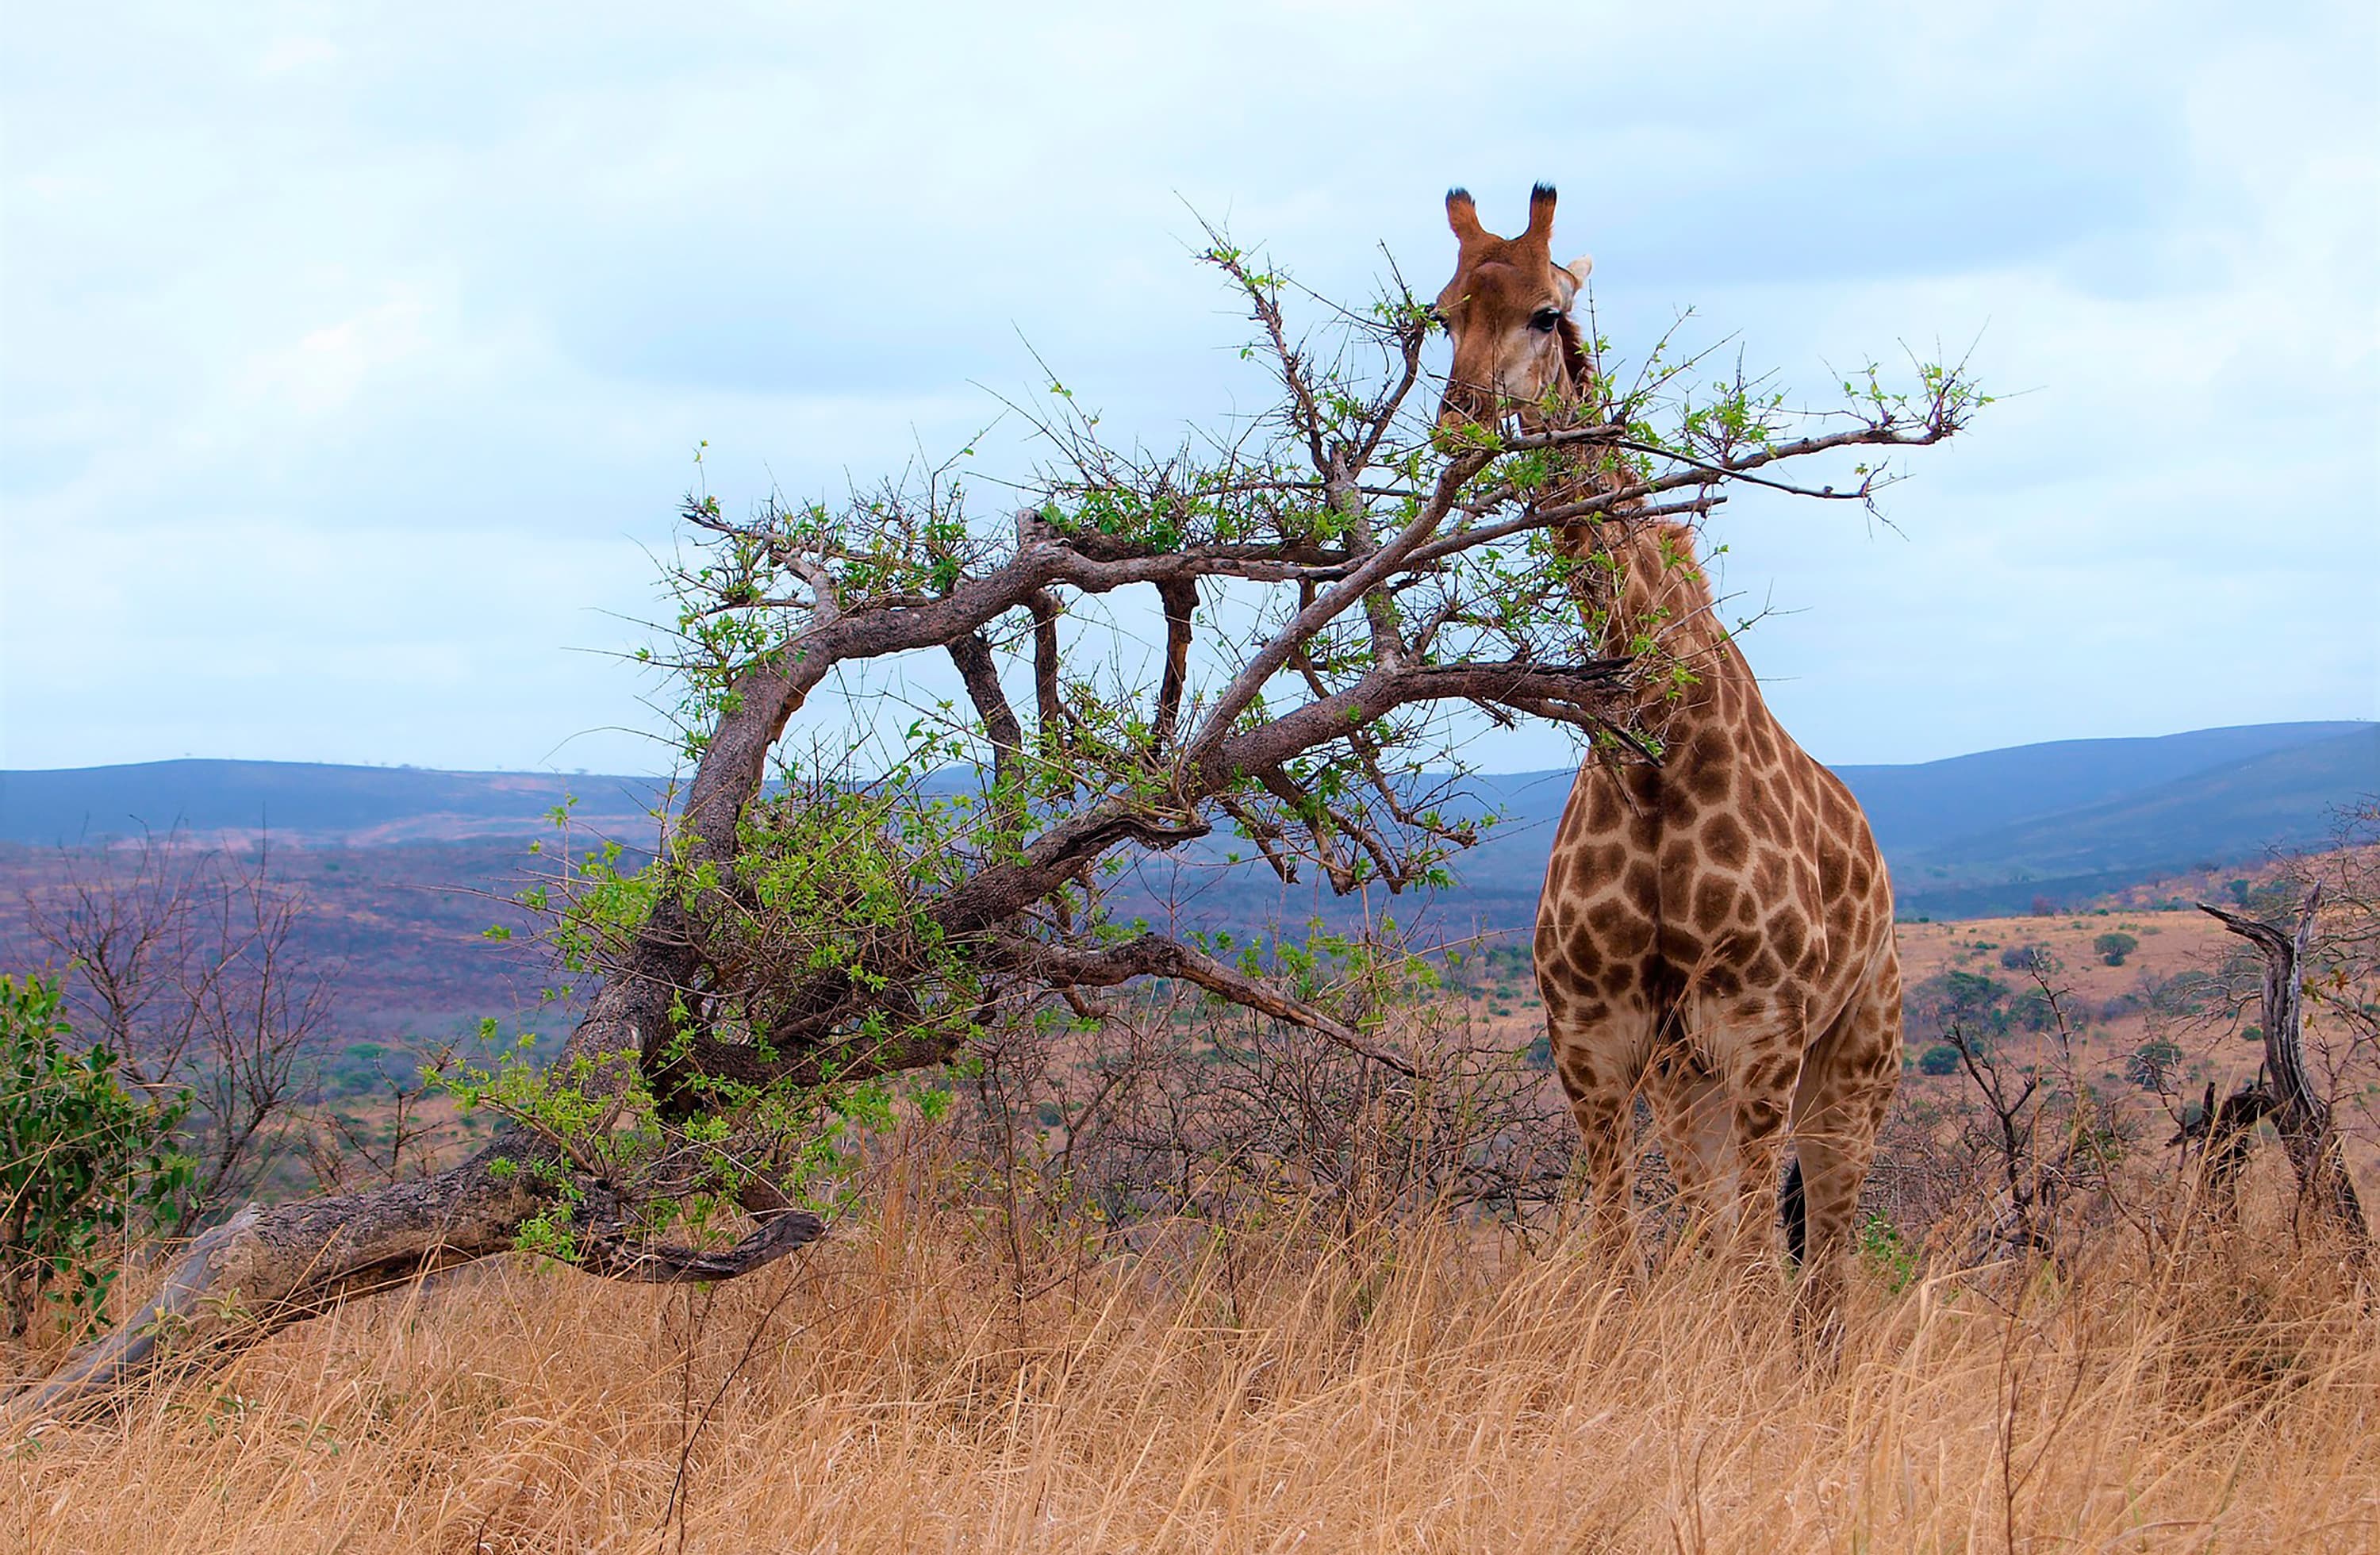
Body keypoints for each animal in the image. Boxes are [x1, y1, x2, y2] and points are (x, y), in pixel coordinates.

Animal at [1428, 184, 1894, 1323]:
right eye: (1442, 313)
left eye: (1547, 312)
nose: (1461, 421)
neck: (1652, 755)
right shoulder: (1596, 1041)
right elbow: (1626, 1258)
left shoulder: (1760, 1035)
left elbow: (1755, 1276)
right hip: (1691, 1079)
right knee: (1724, 1237)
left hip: (1856, 1058)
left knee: (1827, 1269)